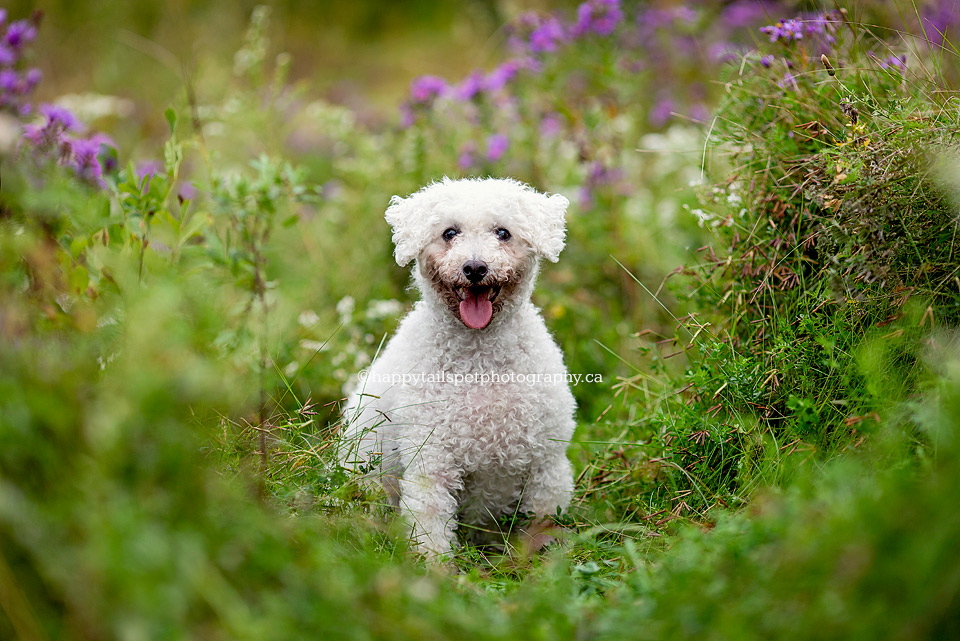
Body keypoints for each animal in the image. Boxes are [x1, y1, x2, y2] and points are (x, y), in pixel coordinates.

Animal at [342, 178, 572, 556]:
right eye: (450, 233)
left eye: (503, 233)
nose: (475, 268)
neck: (480, 361)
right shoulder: (430, 463)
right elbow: (431, 531)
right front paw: (437, 568)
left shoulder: (548, 465)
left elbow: (541, 526)